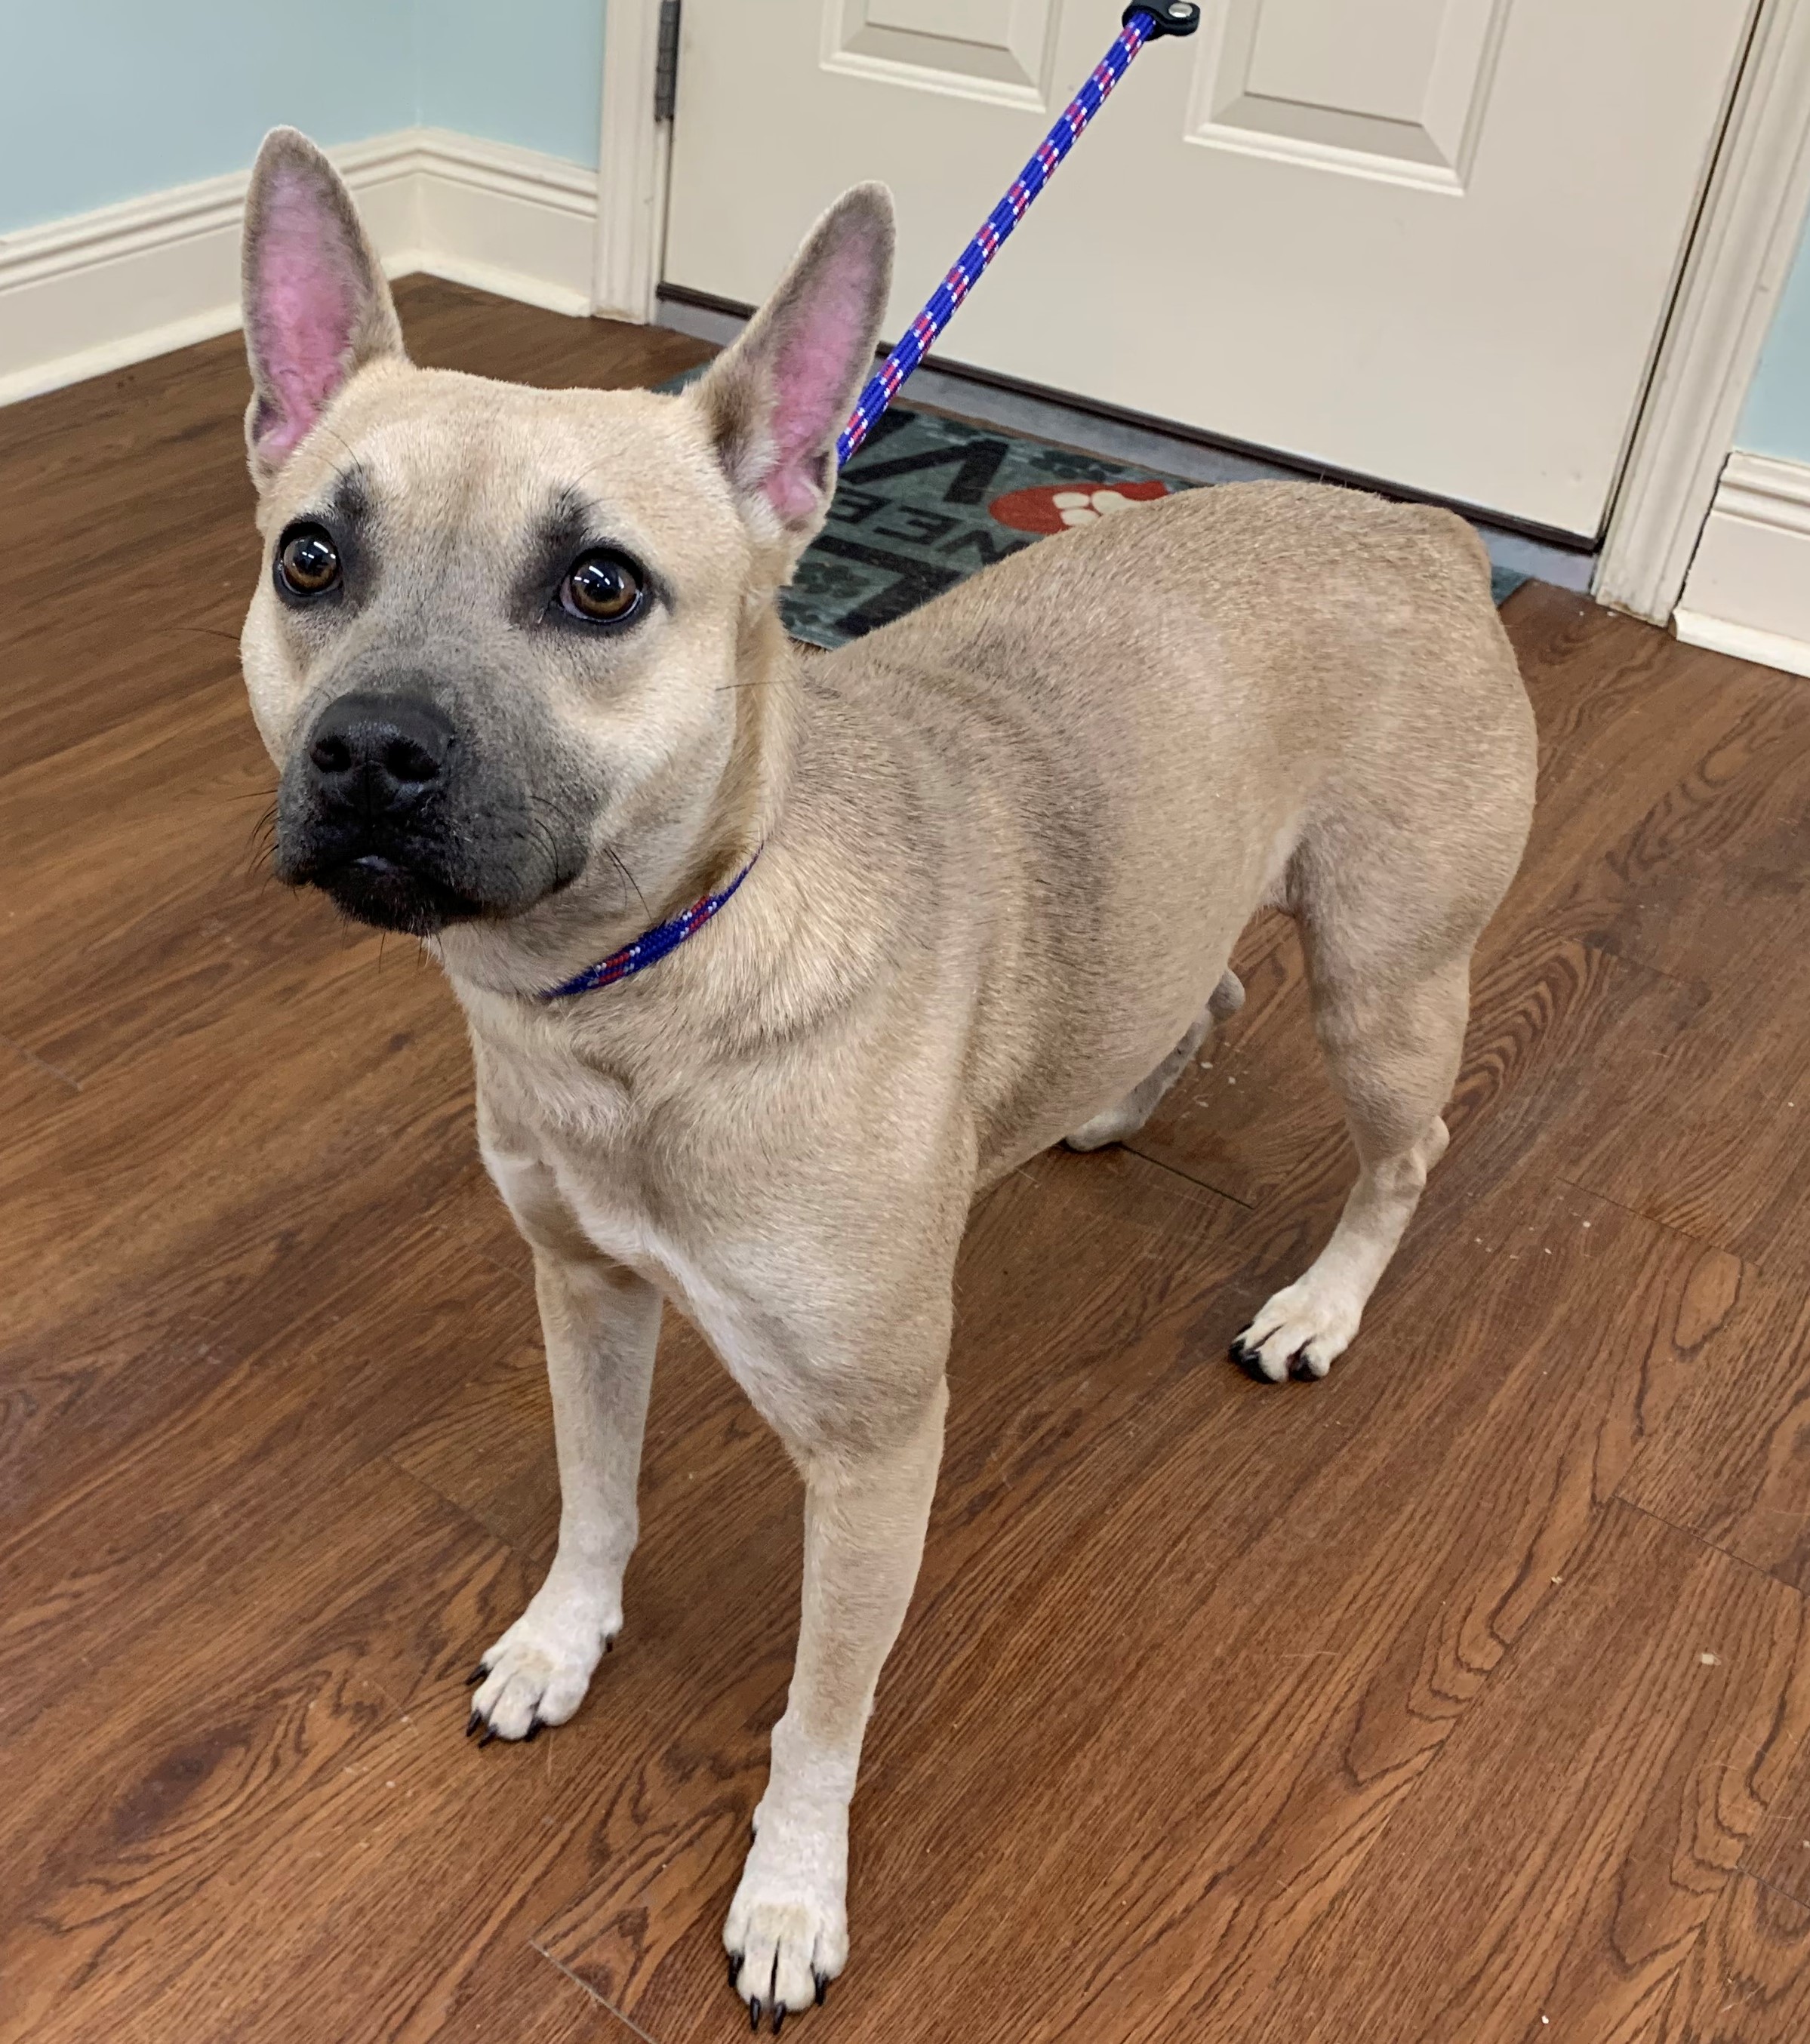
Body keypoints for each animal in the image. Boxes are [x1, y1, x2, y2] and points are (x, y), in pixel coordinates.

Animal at [235, 128, 1536, 2026]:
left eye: (601, 587)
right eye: (312, 559)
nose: (370, 753)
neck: (650, 984)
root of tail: (1422, 530)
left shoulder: (869, 1452)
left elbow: (818, 1712)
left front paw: (789, 1890)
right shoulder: (582, 1291)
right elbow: (594, 1500)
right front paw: (560, 1640)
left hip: (1382, 981)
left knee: (1405, 1148)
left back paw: (1319, 1303)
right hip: (1191, 899)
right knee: (1201, 983)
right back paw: (1110, 1101)